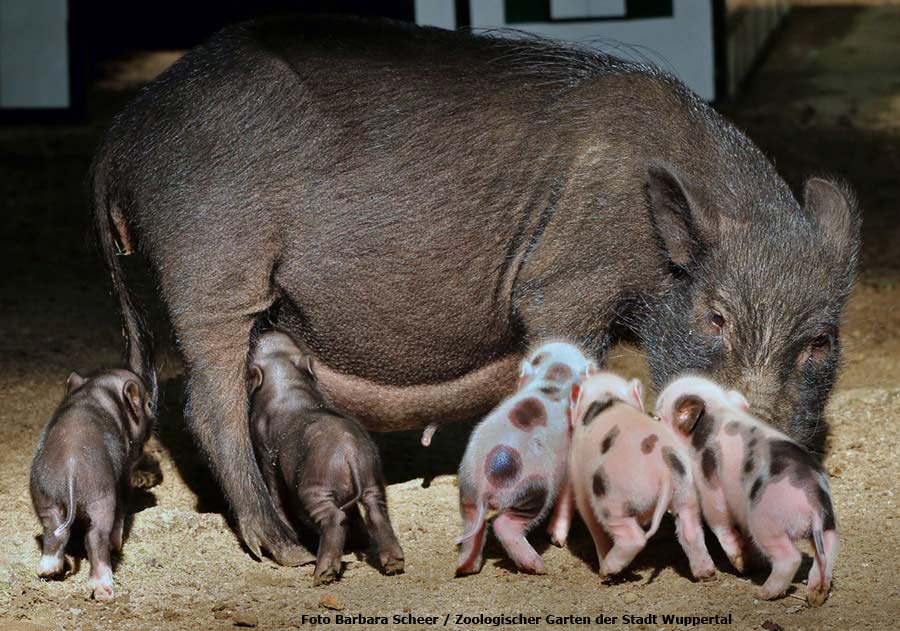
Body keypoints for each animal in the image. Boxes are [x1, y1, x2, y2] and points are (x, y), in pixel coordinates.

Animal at [89, 14, 856, 564]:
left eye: (820, 340)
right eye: (715, 316)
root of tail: (124, 130)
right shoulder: (562, 283)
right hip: (212, 269)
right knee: (208, 403)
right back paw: (282, 549)